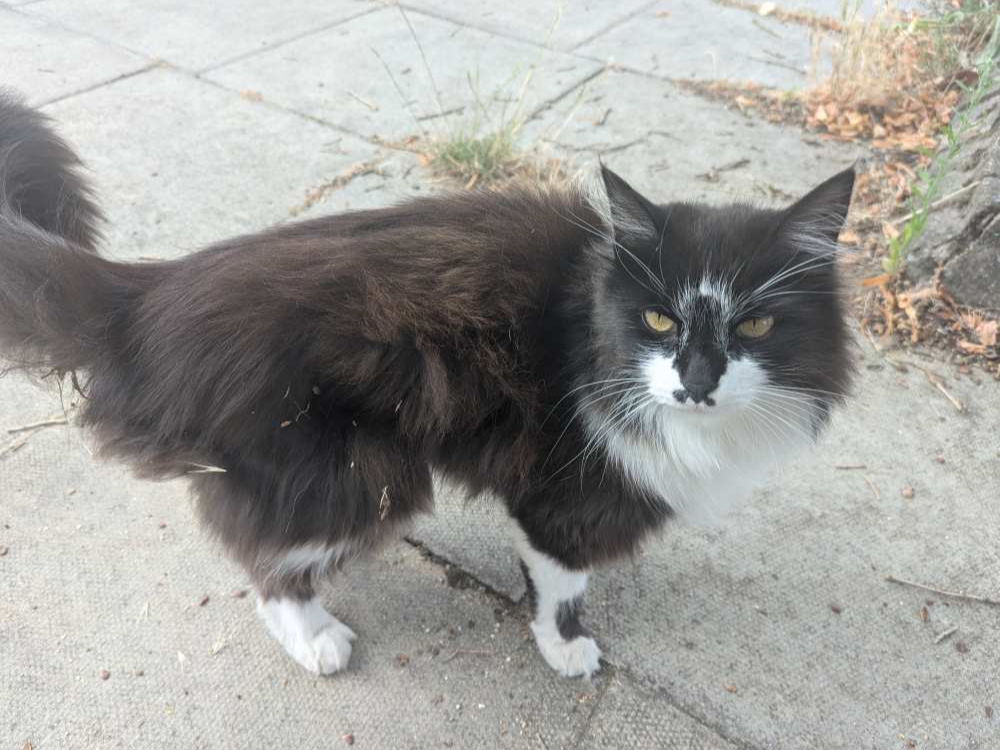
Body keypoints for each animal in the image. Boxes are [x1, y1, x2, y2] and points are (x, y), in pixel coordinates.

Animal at [0, 95, 856, 680]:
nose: (697, 384)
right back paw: (316, 637)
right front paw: (566, 650)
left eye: (756, 326)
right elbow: (561, 583)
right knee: (266, 565)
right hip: (354, 473)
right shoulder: (564, 488)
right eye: (657, 318)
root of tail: (149, 291)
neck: (588, 316)